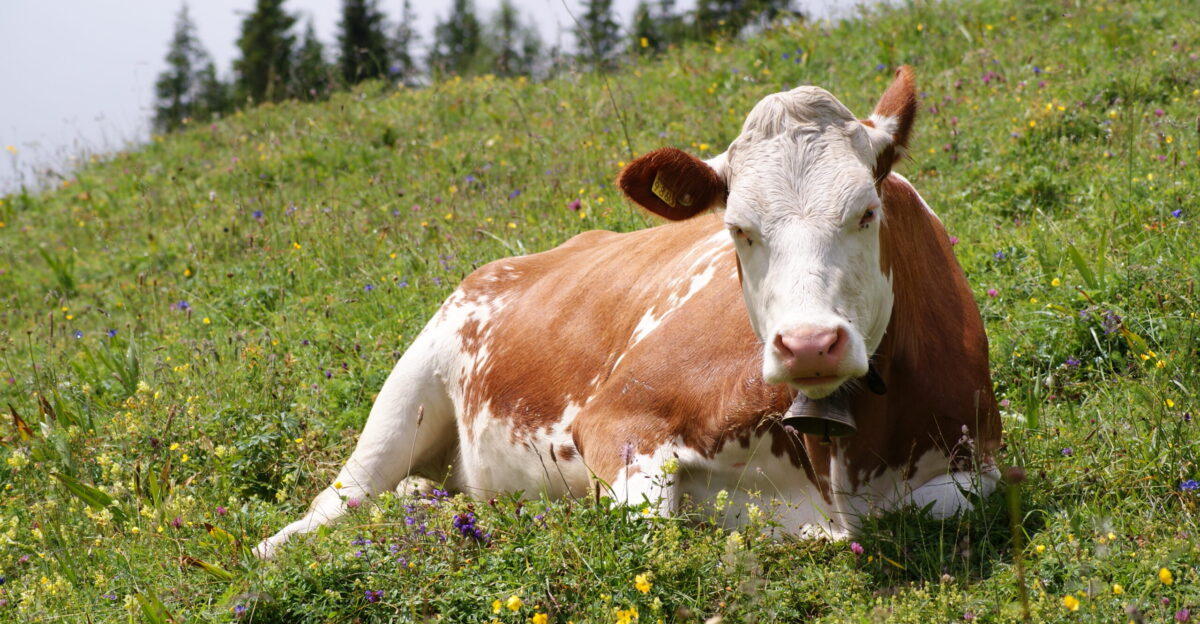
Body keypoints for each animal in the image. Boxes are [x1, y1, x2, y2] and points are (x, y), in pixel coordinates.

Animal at [255, 67, 1001, 559]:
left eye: (866, 212)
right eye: (738, 229)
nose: (809, 343)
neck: (836, 456)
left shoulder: (979, 463)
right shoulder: (618, 418)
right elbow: (650, 525)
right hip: (411, 385)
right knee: (341, 498)